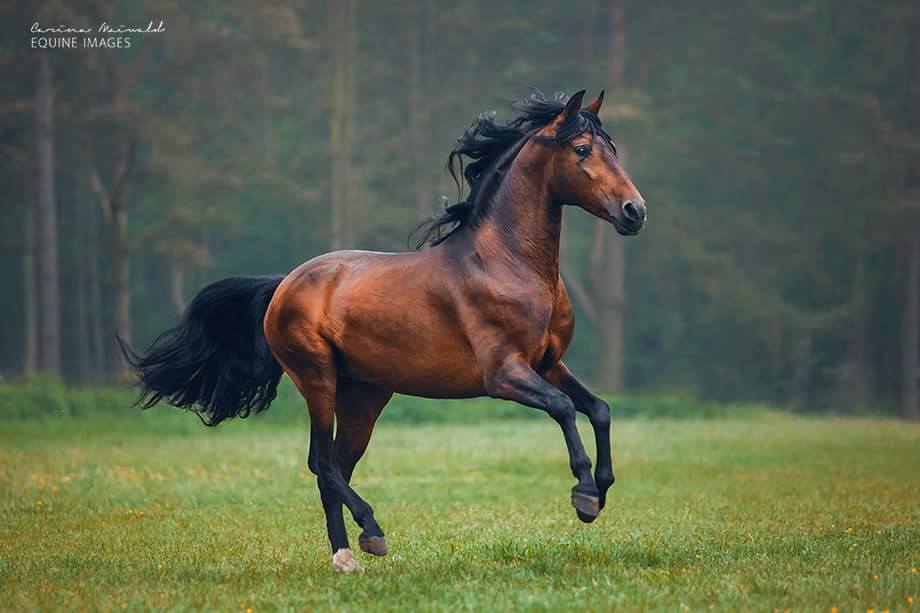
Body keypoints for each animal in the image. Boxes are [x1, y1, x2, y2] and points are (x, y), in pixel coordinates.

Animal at [122, 88, 648, 572]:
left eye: (612, 149)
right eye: (582, 149)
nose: (634, 211)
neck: (507, 264)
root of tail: (285, 284)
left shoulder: (549, 363)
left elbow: (598, 409)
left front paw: (602, 489)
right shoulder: (504, 374)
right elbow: (563, 408)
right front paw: (584, 494)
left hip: (364, 395)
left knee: (334, 463)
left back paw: (348, 554)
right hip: (318, 379)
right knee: (322, 462)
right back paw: (368, 536)